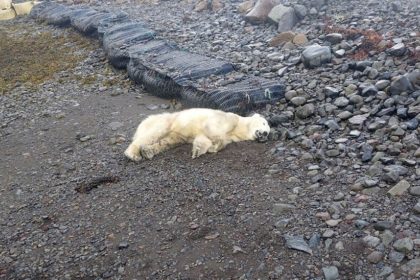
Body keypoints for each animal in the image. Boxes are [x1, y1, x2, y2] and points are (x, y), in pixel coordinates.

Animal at [123, 107, 270, 161]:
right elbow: (212, 129)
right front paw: (214, 144)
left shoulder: (231, 136)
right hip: (166, 121)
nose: (264, 134)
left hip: (175, 134)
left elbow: (203, 138)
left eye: (268, 133)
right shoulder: (228, 119)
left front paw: (200, 150)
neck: (239, 127)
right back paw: (133, 154)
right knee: (153, 134)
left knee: (168, 141)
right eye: (264, 123)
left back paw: (148, 151)